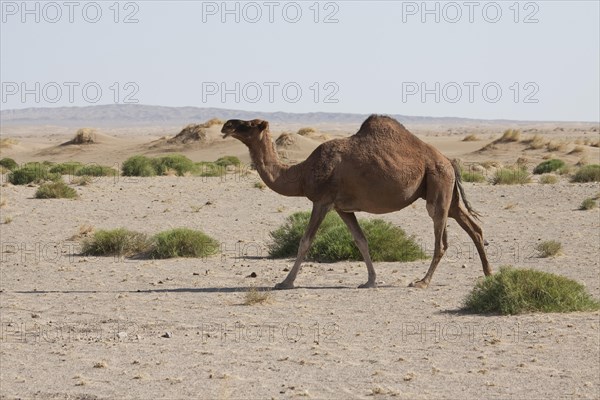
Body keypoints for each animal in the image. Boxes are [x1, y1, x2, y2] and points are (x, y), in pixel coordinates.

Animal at [221, 114, 492, 290]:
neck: (302, 172)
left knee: (442, 238)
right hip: (447, 193)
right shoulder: (342, 208)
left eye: (250, 124)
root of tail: (448, 160)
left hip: (438, 184)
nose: (226, 124)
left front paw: (285, 282)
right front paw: (370, 280)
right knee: (474, 228)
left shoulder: (322, 201)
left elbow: (305, 241)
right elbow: (361, 241)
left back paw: (422, 282)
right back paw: (489, 274)